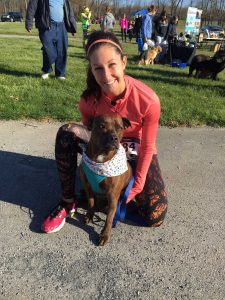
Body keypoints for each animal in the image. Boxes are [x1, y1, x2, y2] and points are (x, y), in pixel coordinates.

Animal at [79, 115, 133, 246]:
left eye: (120, 128)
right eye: (101, 126)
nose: (113, 138)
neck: (101, 157)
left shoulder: (113, 196)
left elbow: (109, 218)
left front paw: (104, 234)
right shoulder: (88, 187)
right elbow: (91, 203)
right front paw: (89, 215)